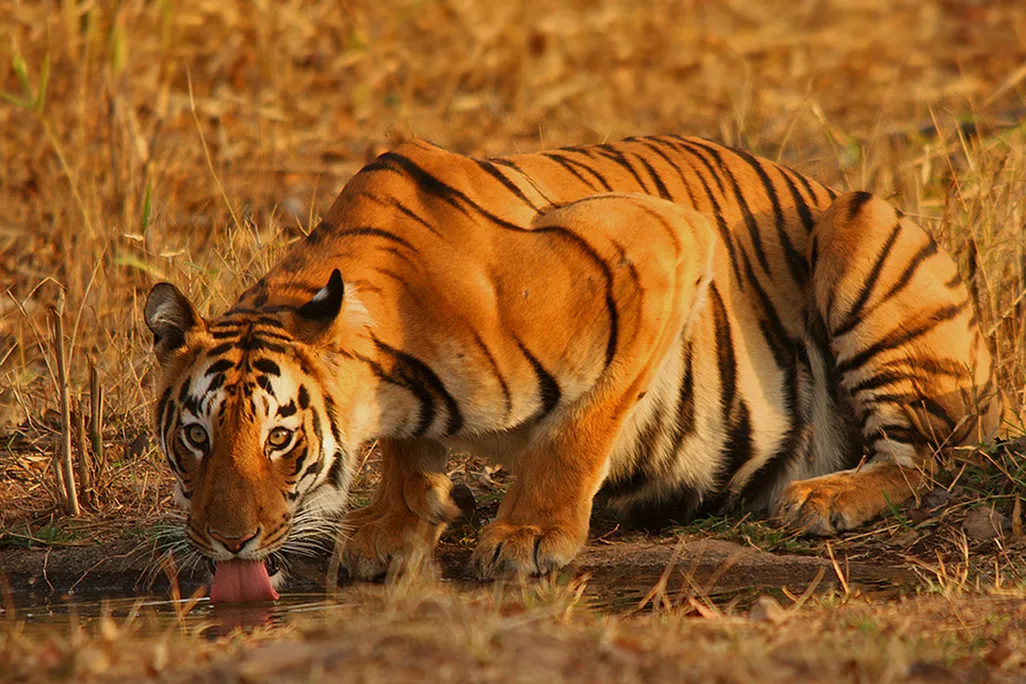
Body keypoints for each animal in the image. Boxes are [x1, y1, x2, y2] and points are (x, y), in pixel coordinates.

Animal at [144, 134, 1006, 602]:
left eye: (280, 439)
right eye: (195, 436)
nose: (226, 542)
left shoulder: (661, 245)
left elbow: (577, 430)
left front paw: (529, 537)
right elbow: (409, 452)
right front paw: (397, 525)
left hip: (864, 233)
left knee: (923, 458)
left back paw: (822, 498)